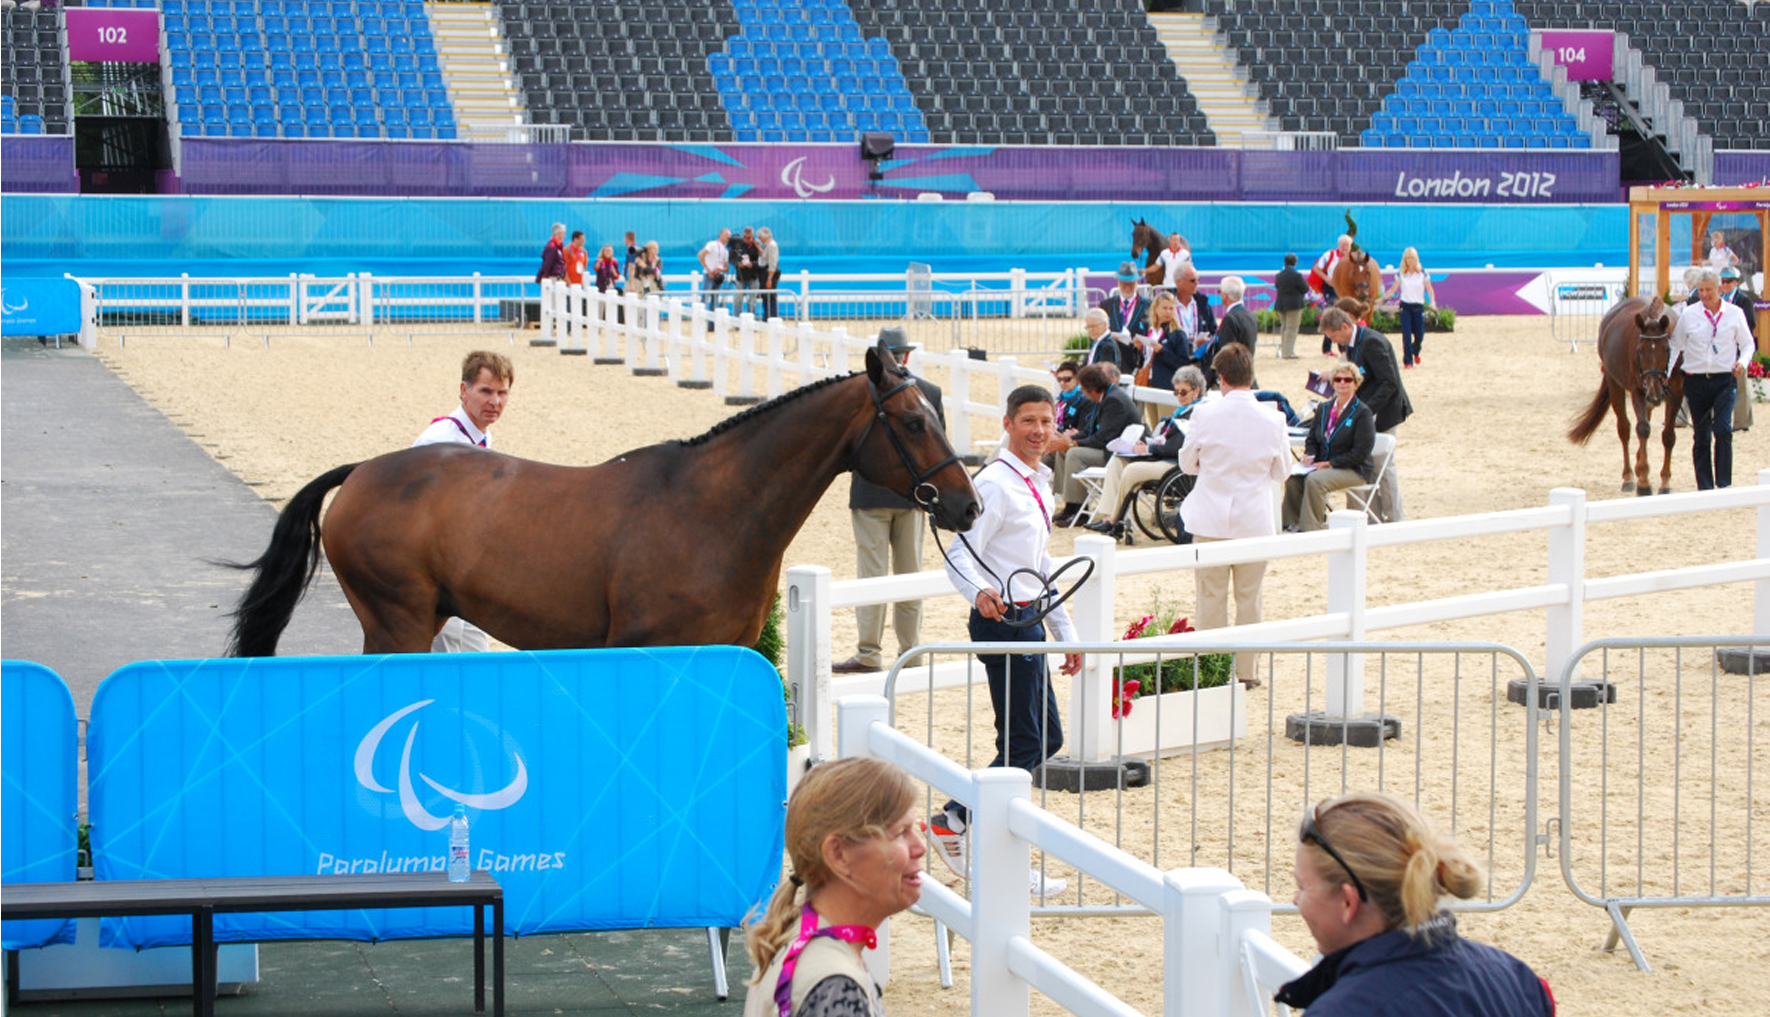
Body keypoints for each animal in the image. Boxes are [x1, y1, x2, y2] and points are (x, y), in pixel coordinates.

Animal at [224, 339, 984, 661]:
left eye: (935, 412)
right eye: (912, 420)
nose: (967, 505)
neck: (711, 513)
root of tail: (363, 473)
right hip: (399, 623)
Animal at [1571, 293, 1677, 498]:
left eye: (1667, 349)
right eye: (1640, 350)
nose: (1654, 392)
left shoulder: (1678, 389)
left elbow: (1668, 435)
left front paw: (1665, 482)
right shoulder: (1637, 390)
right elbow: (1642, 429)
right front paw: (1644, 482)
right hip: (1615, 384)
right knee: (1625, 428)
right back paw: (1628, 477)